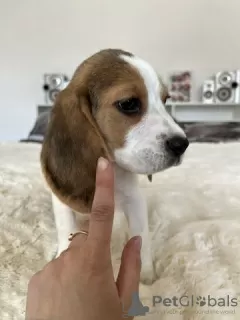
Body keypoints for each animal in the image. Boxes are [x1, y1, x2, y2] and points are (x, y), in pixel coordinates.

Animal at [40, 48, 188, 284]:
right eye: (128, 104)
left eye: (165, 100)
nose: (182, 144)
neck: (113, 167)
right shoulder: (61, 202)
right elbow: (66, 228)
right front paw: (63, 255)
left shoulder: (135, 199)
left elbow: (140, 236)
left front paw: (145, 276)